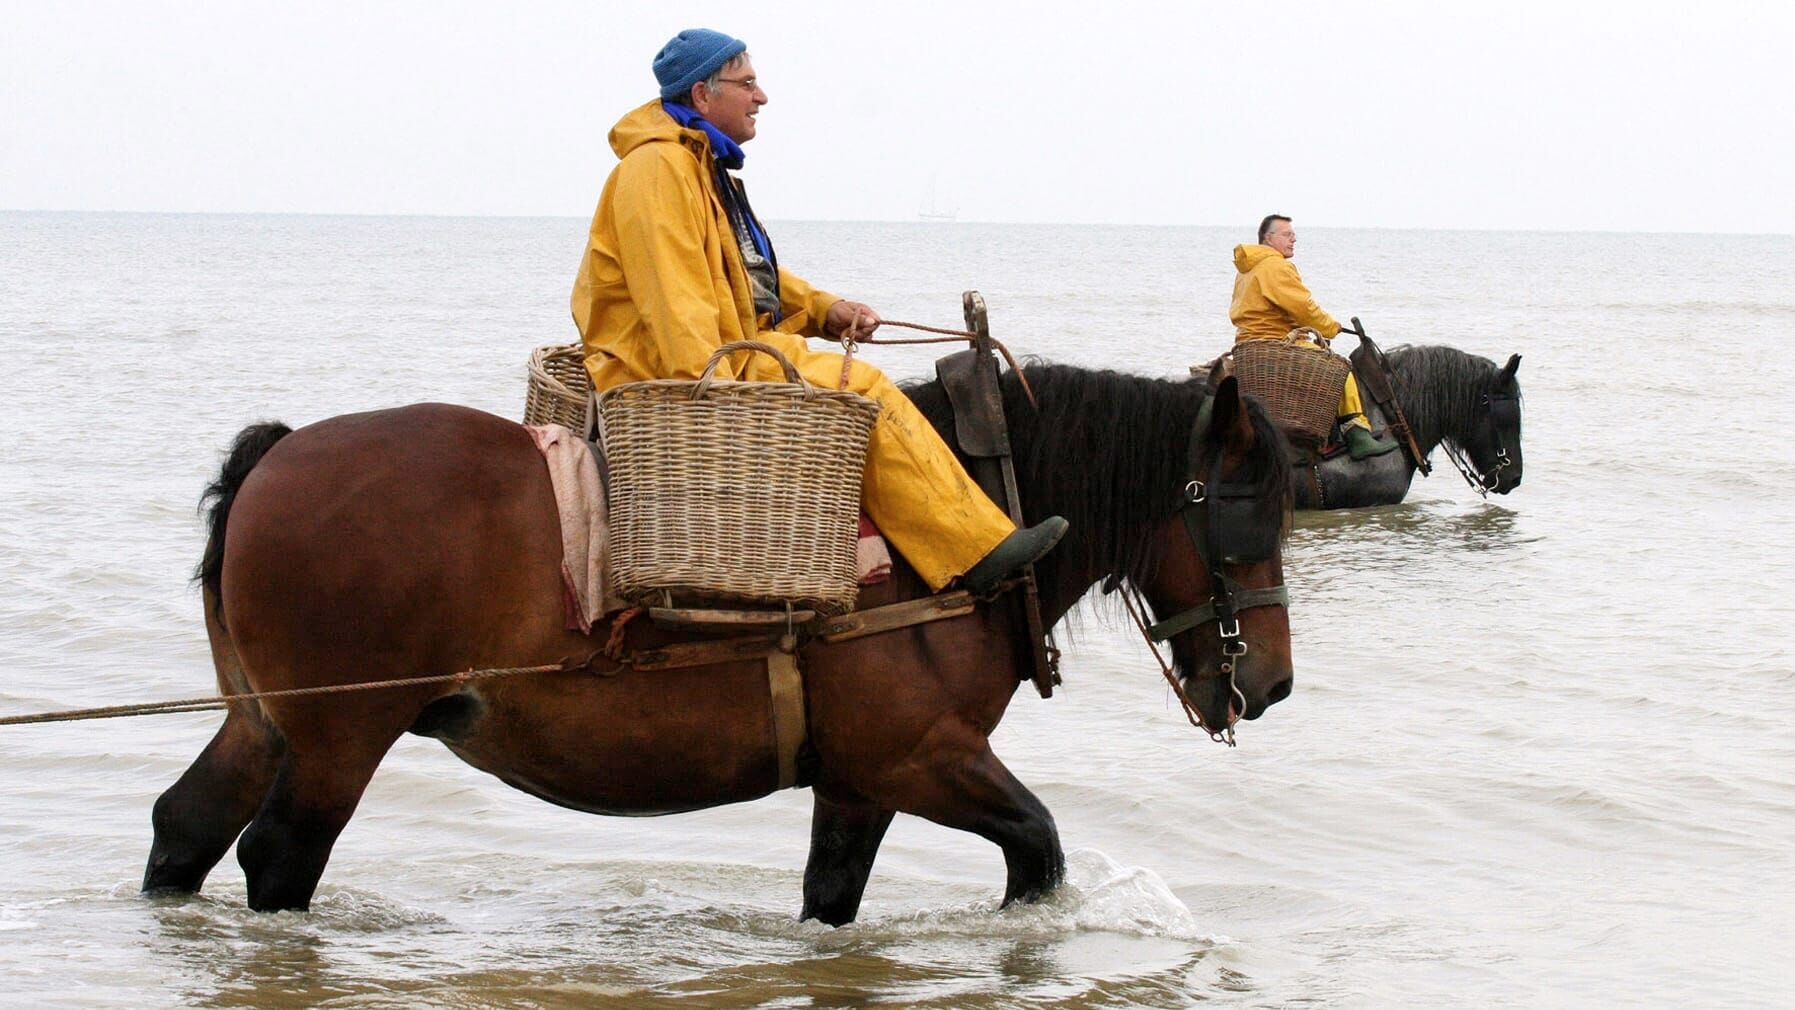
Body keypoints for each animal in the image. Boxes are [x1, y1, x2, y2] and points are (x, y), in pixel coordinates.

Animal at [140, 362, 1292, 925]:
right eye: (1248, 511)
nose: (1273, 682)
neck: (963, 525)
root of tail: (280, 452)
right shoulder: (920, 756)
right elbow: (1038, 852)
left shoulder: (860, 778)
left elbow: (831, 897)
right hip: (341, 736)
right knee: (278, 857)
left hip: (266, 723)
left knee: (186, 825)